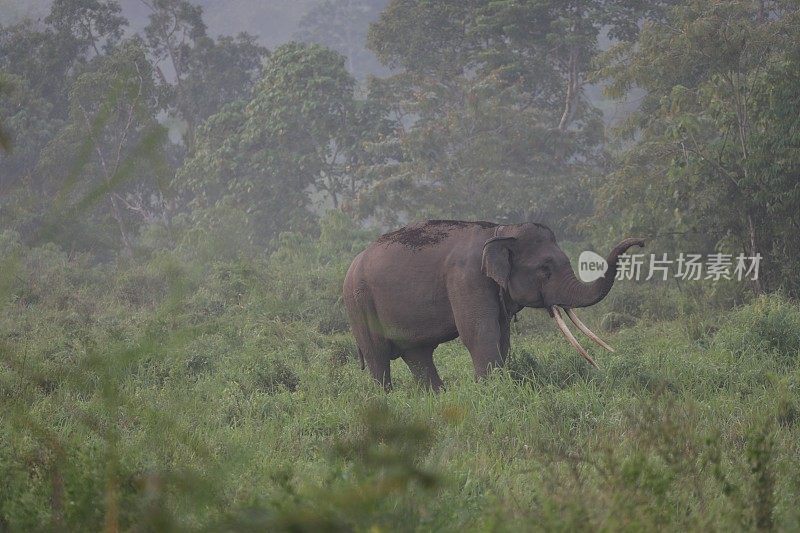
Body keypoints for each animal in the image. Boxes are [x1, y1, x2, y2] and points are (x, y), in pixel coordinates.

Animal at [342, 220, 644, 390]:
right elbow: (479, 333)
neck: (501, 232)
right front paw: (491, 390)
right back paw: (385, 400)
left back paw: (436, 396)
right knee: (378, 356)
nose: (641, 241)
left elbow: (502, 336)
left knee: (418, 355)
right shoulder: (466, 278)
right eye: (545, 270)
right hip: (359, 304)